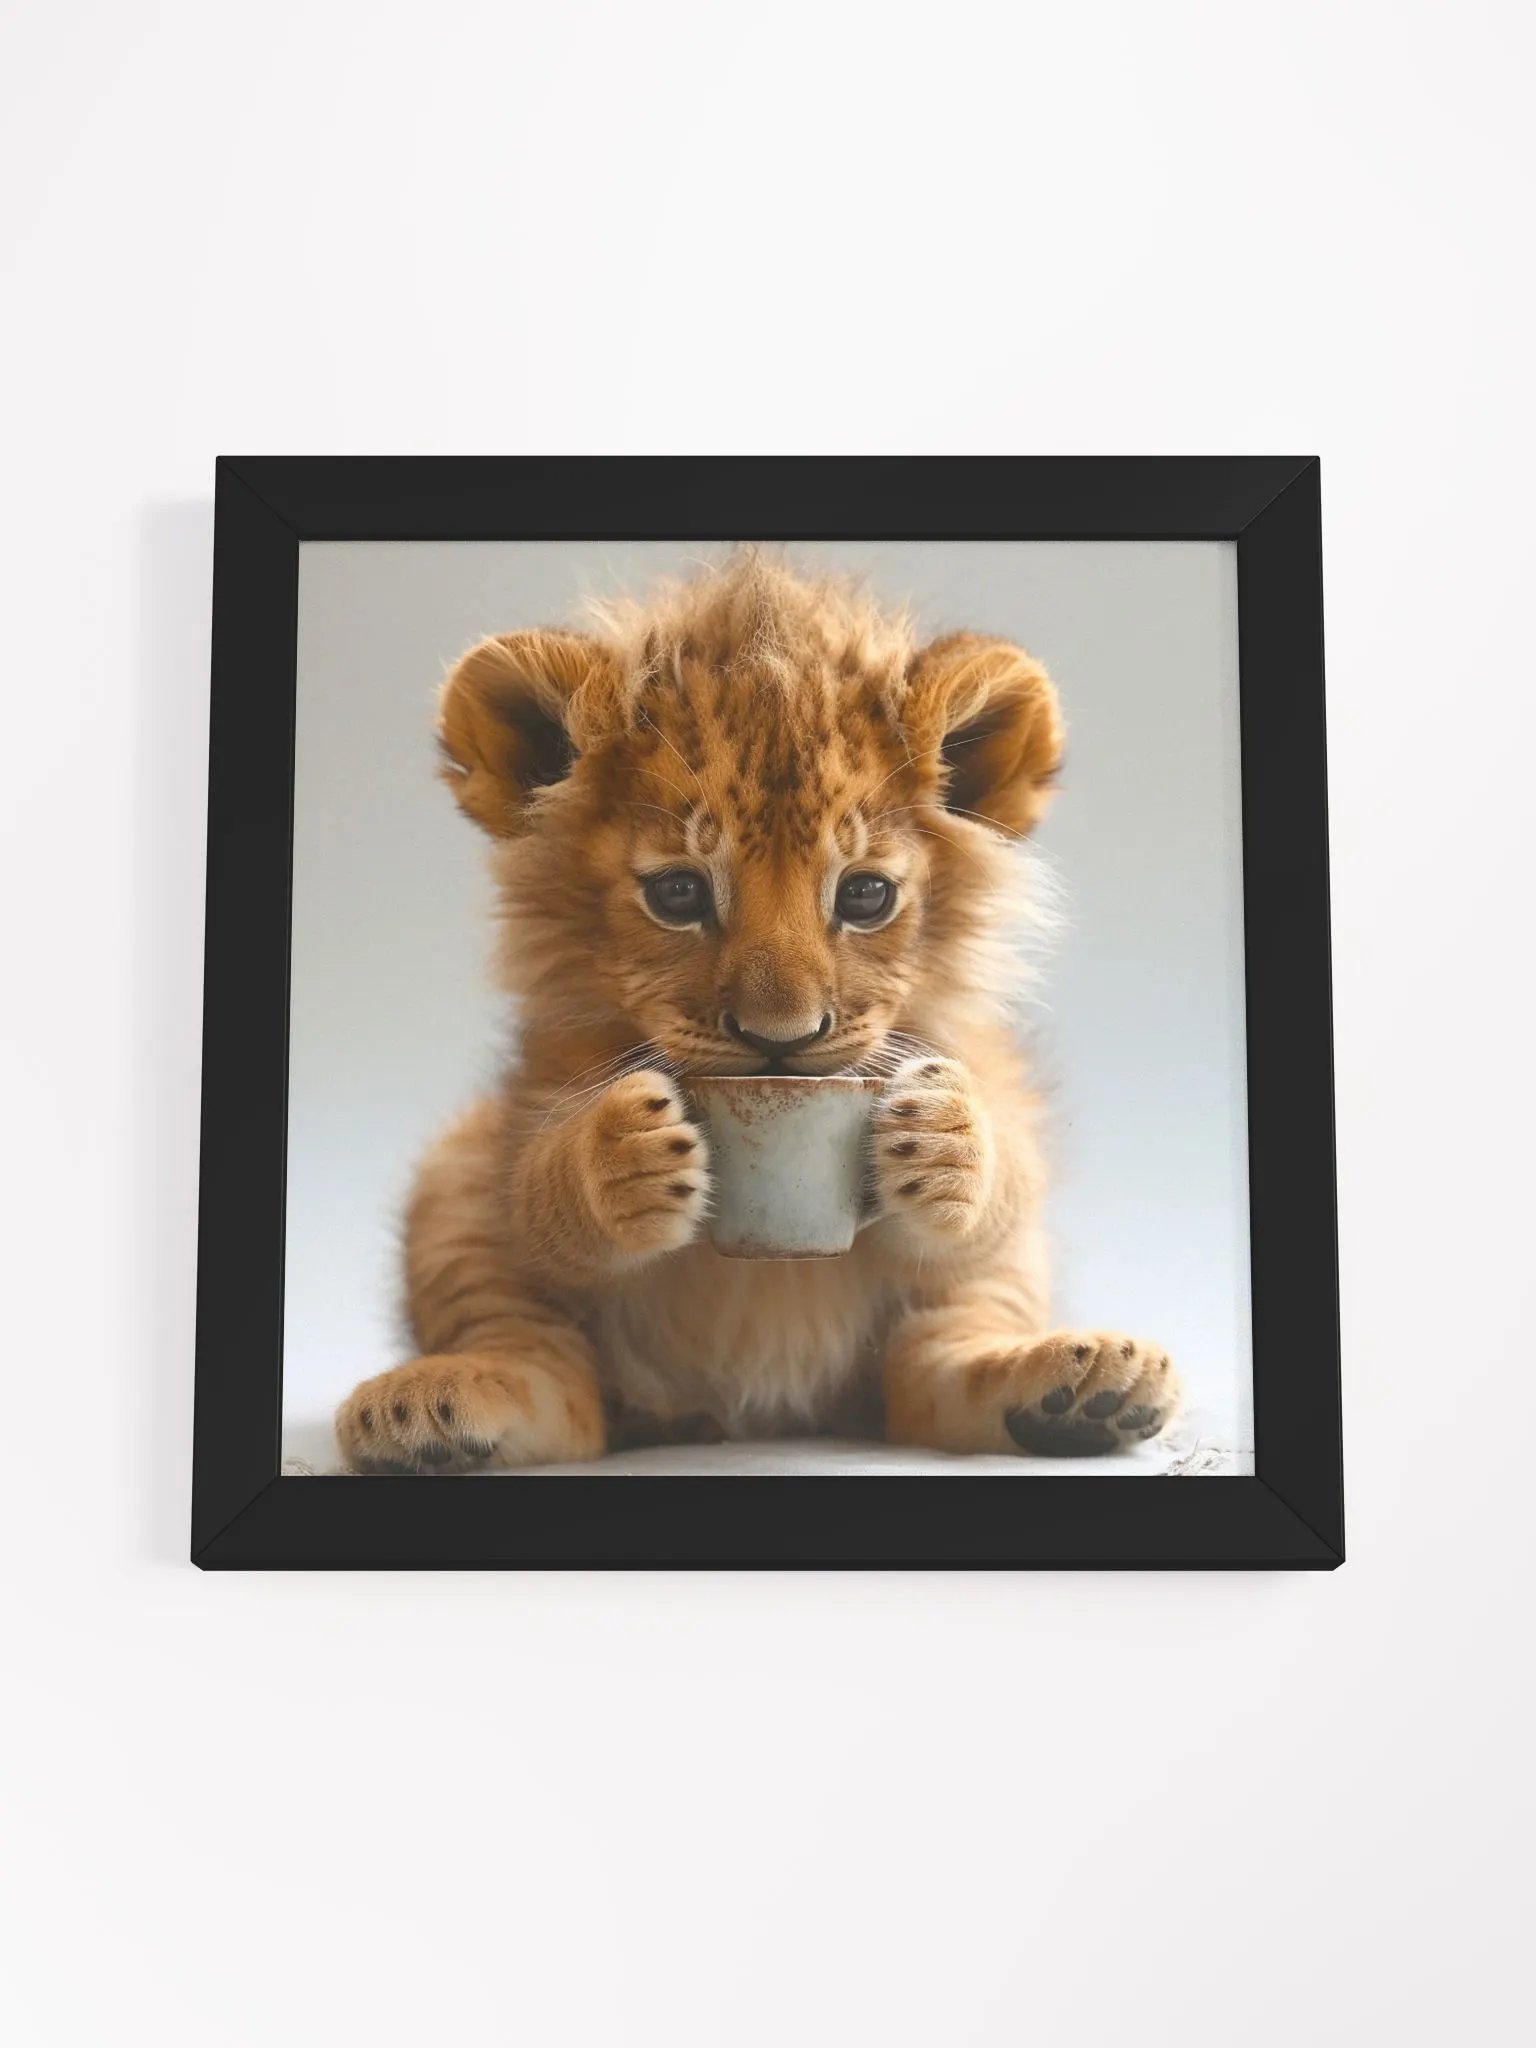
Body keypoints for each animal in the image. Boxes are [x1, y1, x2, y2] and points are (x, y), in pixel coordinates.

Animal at [334, 551, 1181, 1469]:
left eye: (865, 895)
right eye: (678, 894)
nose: (782, 1040)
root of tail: (747, 1416)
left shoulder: (993, 1102)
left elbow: (1004, 1183)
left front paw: (945, 1130)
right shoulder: (528, 1102)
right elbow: (541, 1190)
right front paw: (621, 1153)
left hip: (982, 1299)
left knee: (928, 1379)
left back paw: (1081, 1391)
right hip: (454, 1188)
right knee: (557, 1386)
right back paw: (433, 1408)